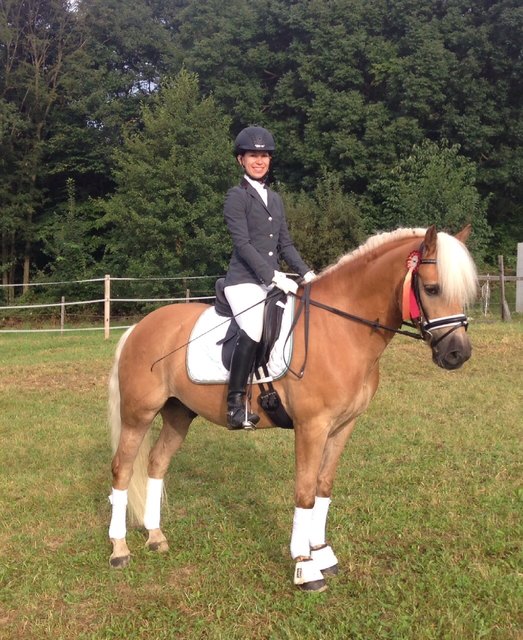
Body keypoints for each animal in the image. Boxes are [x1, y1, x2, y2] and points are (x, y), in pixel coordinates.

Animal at [107, 224, 478, 592]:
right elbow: (305, 493)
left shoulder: (343, 426)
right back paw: (119, 550)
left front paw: (323, 554)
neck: (342, 329)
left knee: (157, 463)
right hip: (139, 415)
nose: (457, 354)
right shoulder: (312, 426)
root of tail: (140, 327)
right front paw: (305, 567)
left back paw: (155, 537)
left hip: (178, 413)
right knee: (122, 469)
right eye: (432, 288)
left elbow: (323, 487)